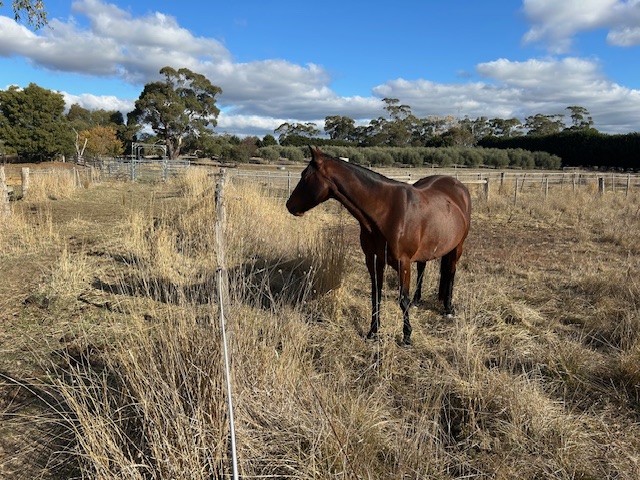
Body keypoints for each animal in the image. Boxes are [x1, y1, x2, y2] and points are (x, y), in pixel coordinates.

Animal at [286, 147, 471, 345]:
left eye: (305, 176)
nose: (289, 205)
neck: (386, 211)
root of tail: (458, 186)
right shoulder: (374, 260)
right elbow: (376, 295)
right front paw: (373, 332)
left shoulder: (403, 264)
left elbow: (402, 299)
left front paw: (407, 336)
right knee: (423, 267)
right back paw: (417, 301)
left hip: (457, 247)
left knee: (451, 272)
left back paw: (448, 308)